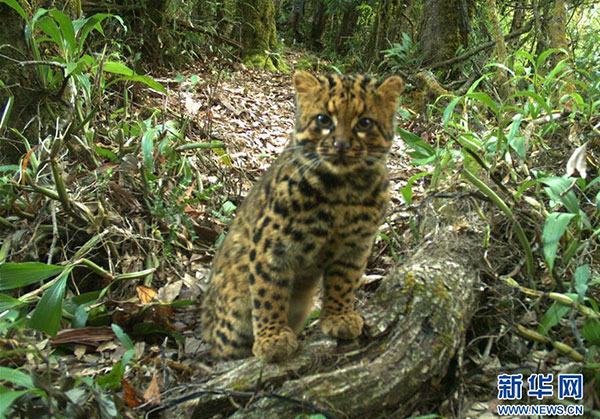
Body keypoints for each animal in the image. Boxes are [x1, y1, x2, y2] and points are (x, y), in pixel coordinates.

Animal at [200, 71, 403, 362]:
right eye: (323, 120)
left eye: (365, 123)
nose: (341, 145)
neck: (342, 192)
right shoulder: (272, 248)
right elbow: (269, 294)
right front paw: (272, 339)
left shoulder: (355, 247)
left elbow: (343, 283)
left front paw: (339, 317)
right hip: (233, 318)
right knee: (223, 347)